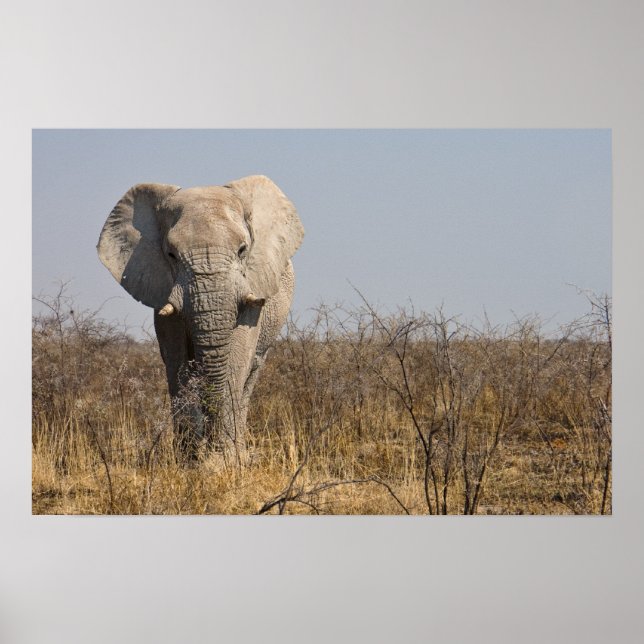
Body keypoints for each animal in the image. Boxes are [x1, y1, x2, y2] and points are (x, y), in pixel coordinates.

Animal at [97, 175, 304, 462]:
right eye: (171, 255)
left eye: (242, 250)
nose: (211, 446)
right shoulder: (162, 288)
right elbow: (177, 362)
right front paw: (191, 461)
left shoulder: (252, 287)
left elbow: (236, 359)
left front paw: (225, 461)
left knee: (250, 374)